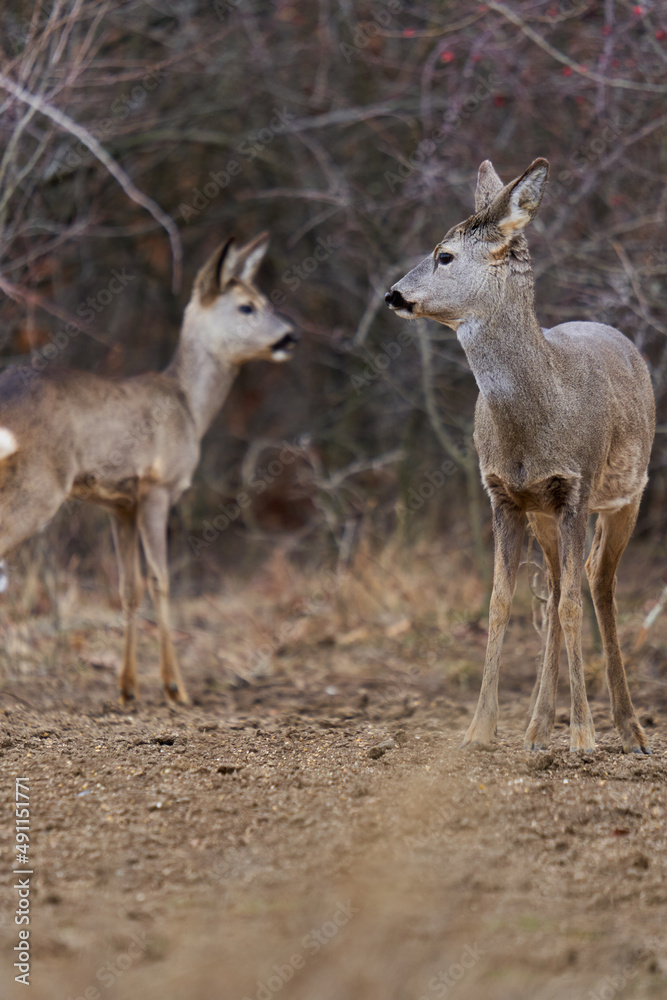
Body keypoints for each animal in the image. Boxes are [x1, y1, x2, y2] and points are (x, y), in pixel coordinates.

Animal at [0, 232, 298, 704]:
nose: (291, 336)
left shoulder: (118, 503)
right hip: (38, 483)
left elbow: (129, 587)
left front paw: (127, 689)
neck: (189, 406)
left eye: (266, 300)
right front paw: (176, 687)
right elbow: (160, 580)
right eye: (247, 306)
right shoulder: (158, 486)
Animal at [388, 158, 656, 752]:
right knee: (555, 587)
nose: (393, 294)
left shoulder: (576, 487)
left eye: (444, 254)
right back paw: (536, 728)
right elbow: (499, 603)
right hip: (543, 515)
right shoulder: (505, 496)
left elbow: (574, 601)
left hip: (627, 493)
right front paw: (478, 731)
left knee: (596, 582)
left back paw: (628, 729)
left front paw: (583, 737)